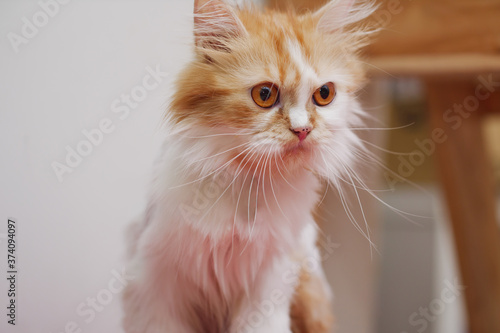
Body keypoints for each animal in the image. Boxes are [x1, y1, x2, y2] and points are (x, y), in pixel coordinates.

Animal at [124, 0, 376, 332]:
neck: (251, 181)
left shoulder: (269, 285)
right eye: (264, 95)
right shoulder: (155, 284)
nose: (303, 130)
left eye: (324, 94)